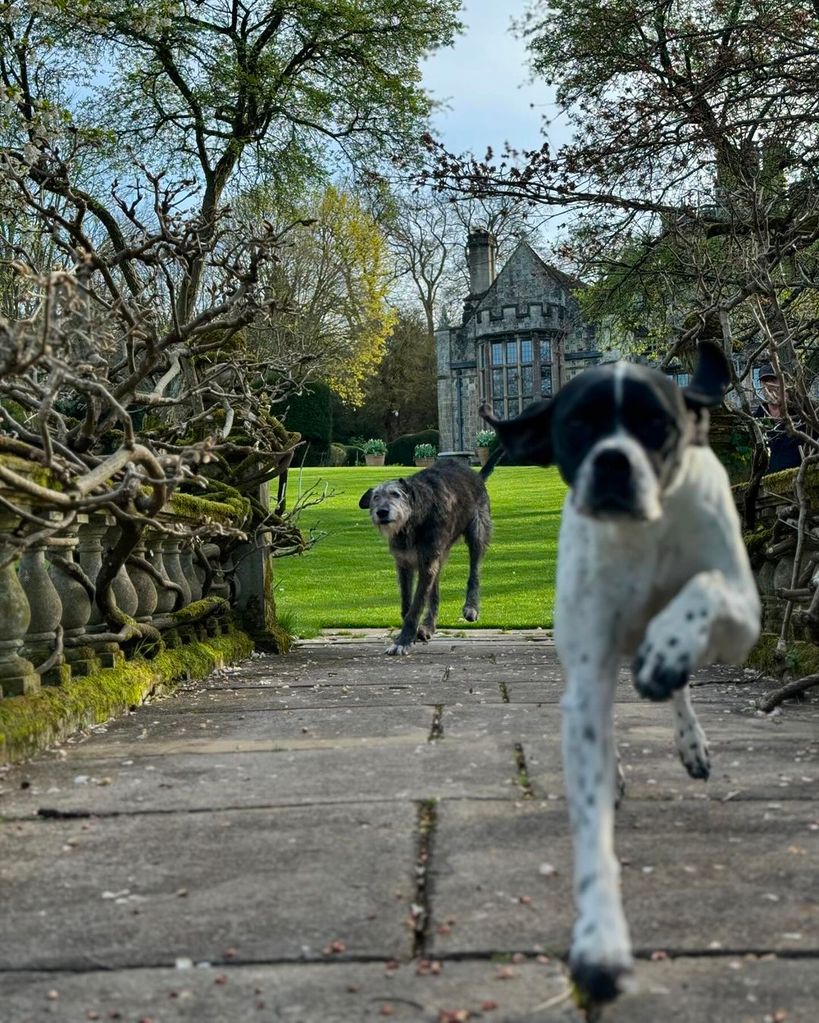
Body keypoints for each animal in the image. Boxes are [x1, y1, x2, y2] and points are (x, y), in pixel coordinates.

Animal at [359, 458, 492, 650]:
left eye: (396, 494)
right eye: (375, 497)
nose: (382, 512)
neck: (411, 523)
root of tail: (475, 474)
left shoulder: (427, 562)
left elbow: (417, 604)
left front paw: (403, 640)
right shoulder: (404, 563)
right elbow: (407, 602)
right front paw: (411, 634)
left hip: (476, 532)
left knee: (474, 572)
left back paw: (471, 607)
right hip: (438, 554)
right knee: (434, 591)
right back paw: (428, 626)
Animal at [478, 341, 760, 998]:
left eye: (656, 424)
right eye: (578, 425)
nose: (612, 463)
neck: (643, 534)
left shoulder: (743, 613)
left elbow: (703, 592)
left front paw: (670, 652)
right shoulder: (586, 680)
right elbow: (592, 835)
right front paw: (600, 942)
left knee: (679, 678)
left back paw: (685, 726)